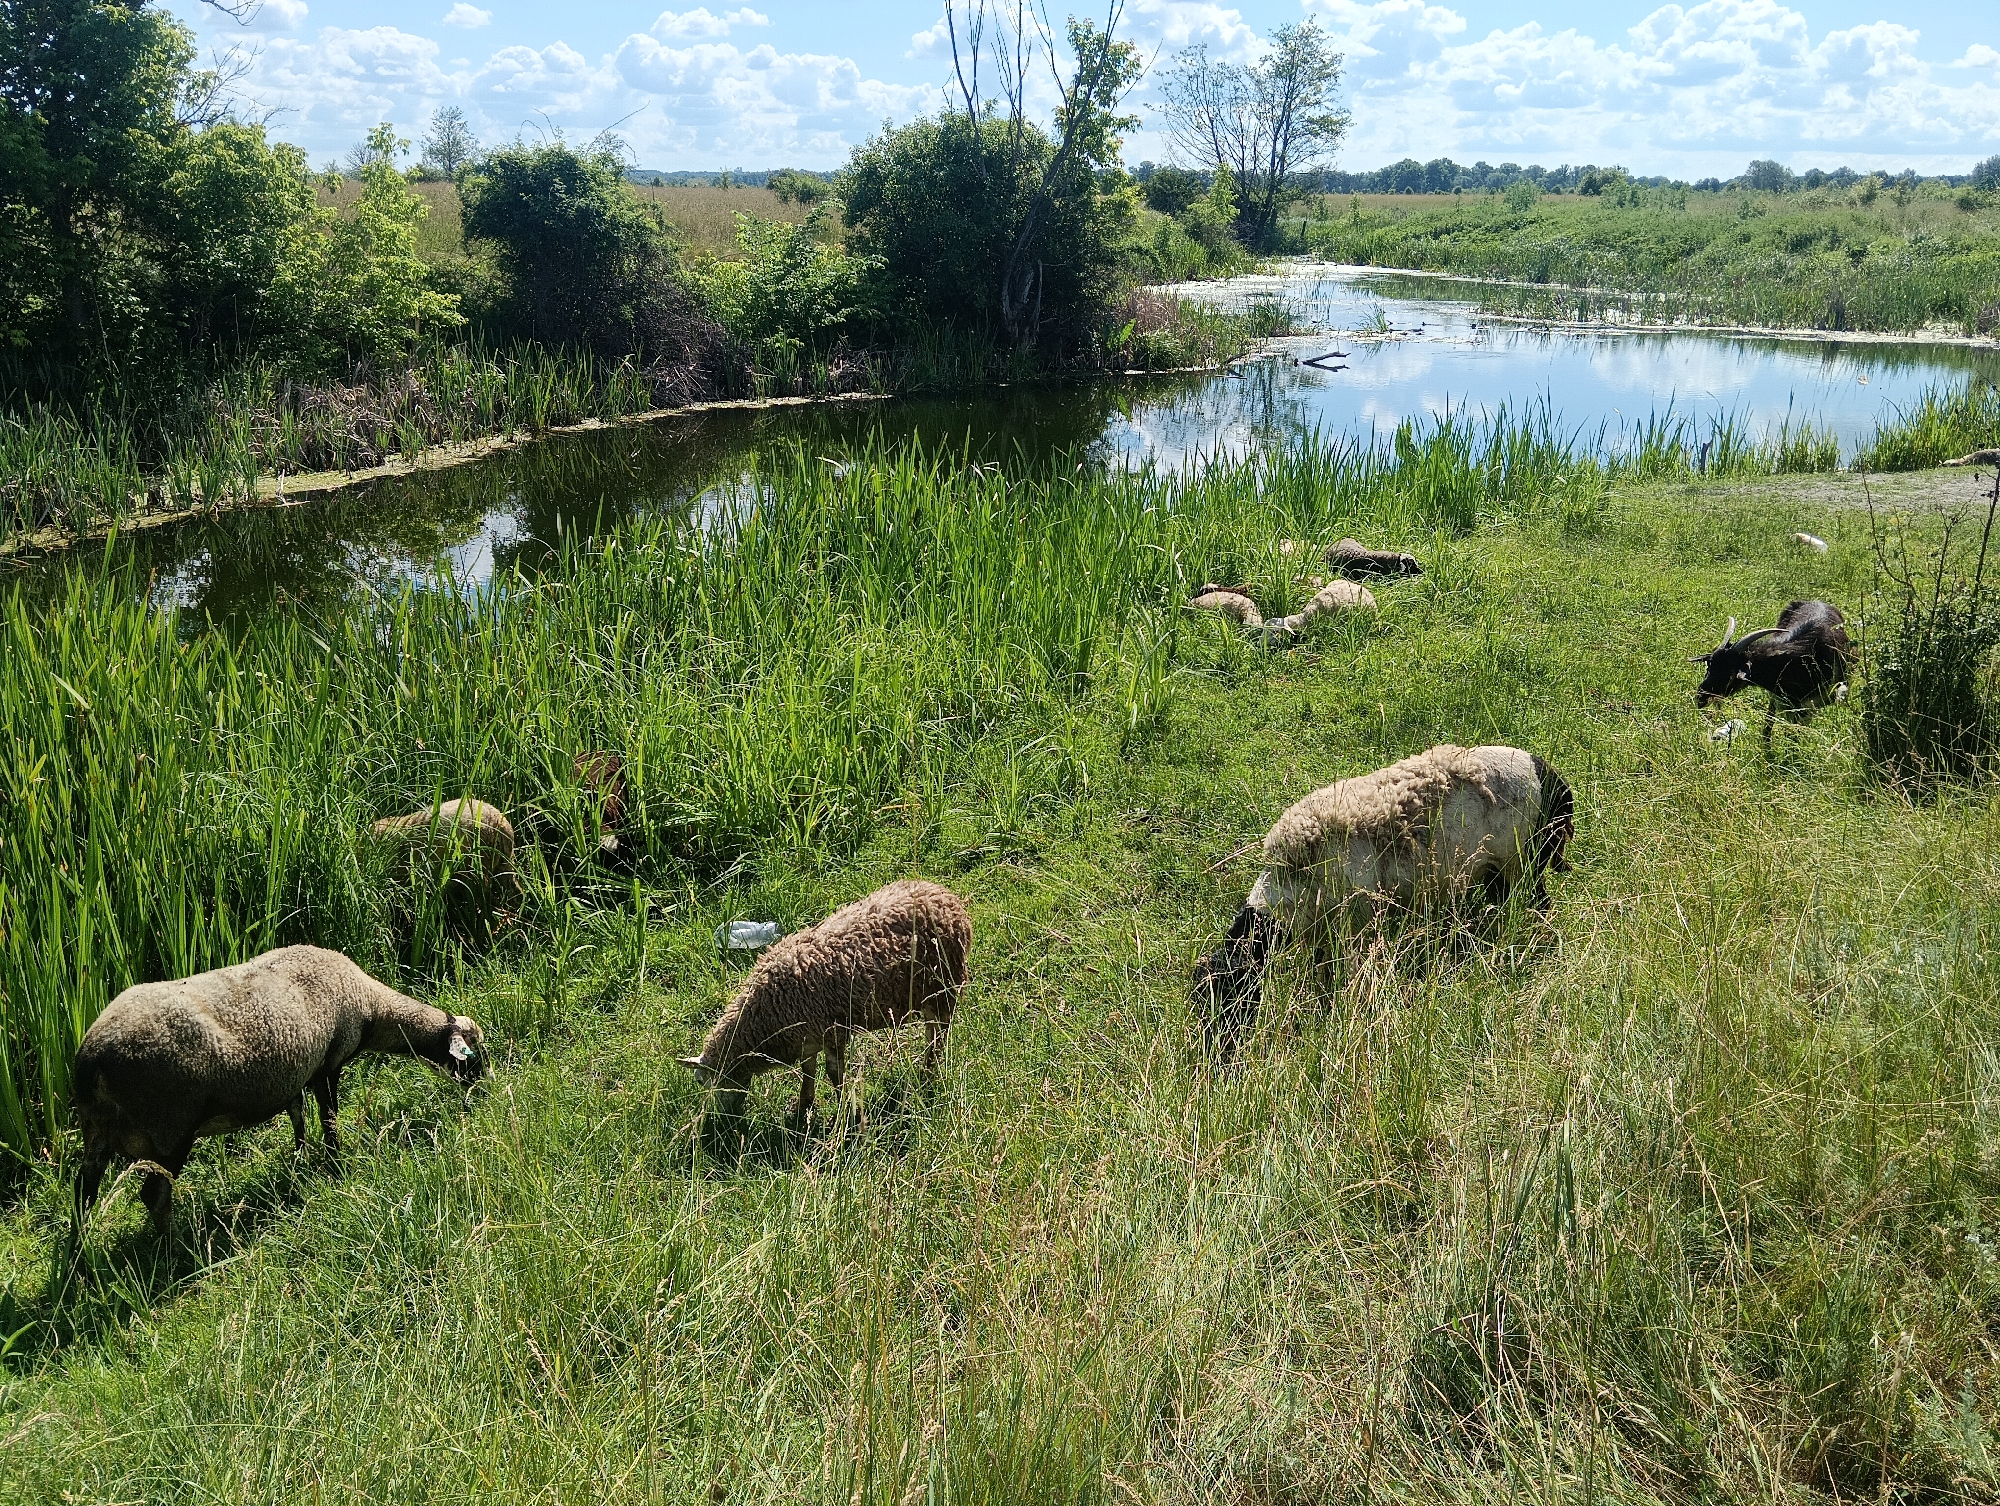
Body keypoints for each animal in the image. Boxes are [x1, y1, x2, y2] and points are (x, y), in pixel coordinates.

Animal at [71, 945, 488, 1240]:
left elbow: (298, 1117)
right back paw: (176, 1253)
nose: (486, 1093)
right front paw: (337, 1167)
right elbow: (330, 1119)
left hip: (97, 1130)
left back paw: (78, 1262)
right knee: (154, 1195)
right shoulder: (328, 1064)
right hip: (171, 1127)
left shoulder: (293, 1076)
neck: (372, 1007)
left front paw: (300, 1161)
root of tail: (92, 1057)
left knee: (82, 1192)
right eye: (473, 1055)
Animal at [679, 879, 971, 1129]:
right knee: (933, 1028)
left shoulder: (832, 1031)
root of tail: (944, 894)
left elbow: (833, 1073)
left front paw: (848, 1112)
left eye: (702, 1081)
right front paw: (804, 1105)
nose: (723, 1122)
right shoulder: (807, 1037)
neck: (767, 1014)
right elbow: (808, 1070)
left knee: (940, 1031)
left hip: (944, 984)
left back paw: (930, 1070)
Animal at [1191, 745, 1574, 1059]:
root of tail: (1551, 777)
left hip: (1524, 863)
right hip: (1496, 871)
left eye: (1230, 995)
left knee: (1538, 906)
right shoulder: (1326, 933)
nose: (1218, 1054)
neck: (1294, 882)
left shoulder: (1356, 924)